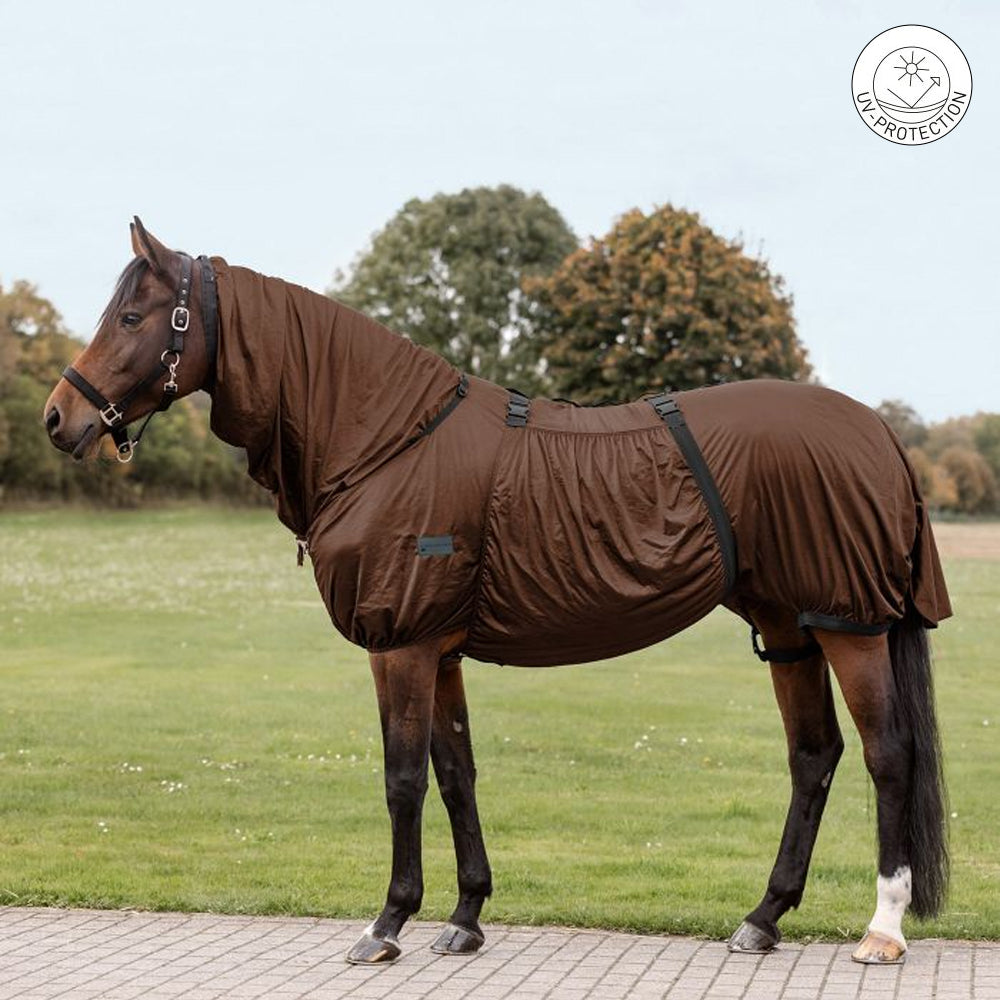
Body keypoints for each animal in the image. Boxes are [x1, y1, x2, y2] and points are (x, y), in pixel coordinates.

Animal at [43, 218, 950, 967]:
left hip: (850, 625)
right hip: (789, 629)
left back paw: (882, 929)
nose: (58, 418)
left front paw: (387, 924)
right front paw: (465, 918)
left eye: (132, 318)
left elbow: (402, 778)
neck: (386, 438)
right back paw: (762, 919)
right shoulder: (438, 650)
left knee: (887, 755)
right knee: (814, 756)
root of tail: (878, 430)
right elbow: (456, 773)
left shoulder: (400, 645)